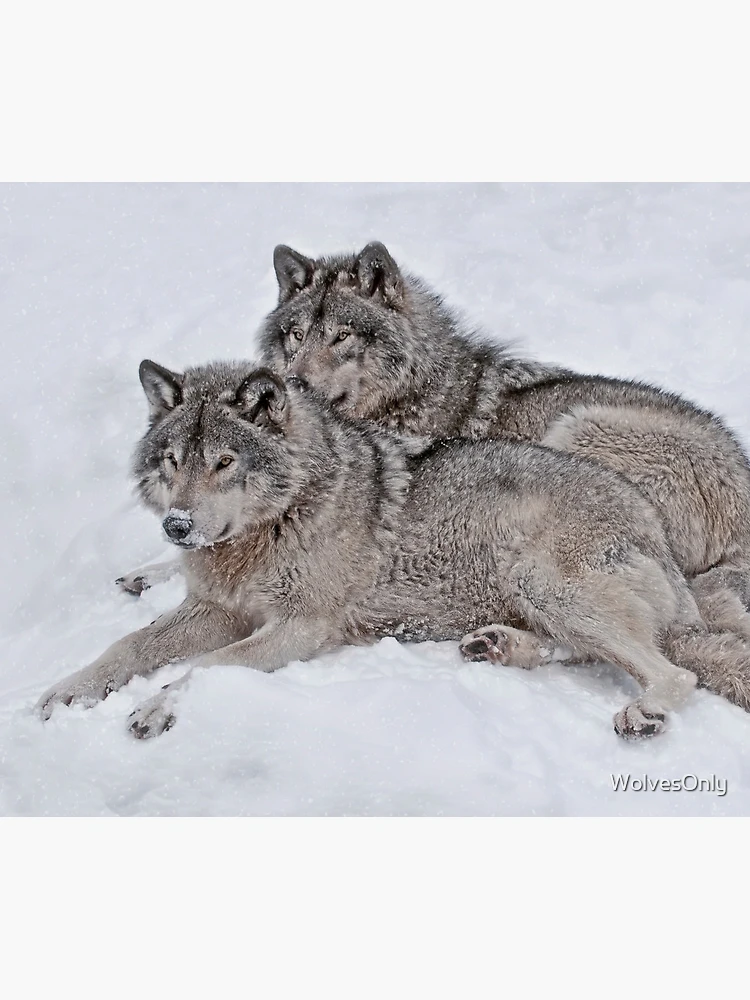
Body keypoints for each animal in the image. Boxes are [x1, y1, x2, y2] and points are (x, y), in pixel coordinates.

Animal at [38, 361, 750, 738]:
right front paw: (66, 692)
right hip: (542, 597)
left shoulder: (301, 628)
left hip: (548, 582)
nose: (178, 526)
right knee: (582, 652)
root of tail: (660, 542)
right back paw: (498, 646)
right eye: (173, 460)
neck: (281, 520)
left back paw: (644, 710)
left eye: (224, 462)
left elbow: (208, 668)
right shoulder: (215, 609)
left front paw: (156, 706)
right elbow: (126, 647)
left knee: (671, 671)